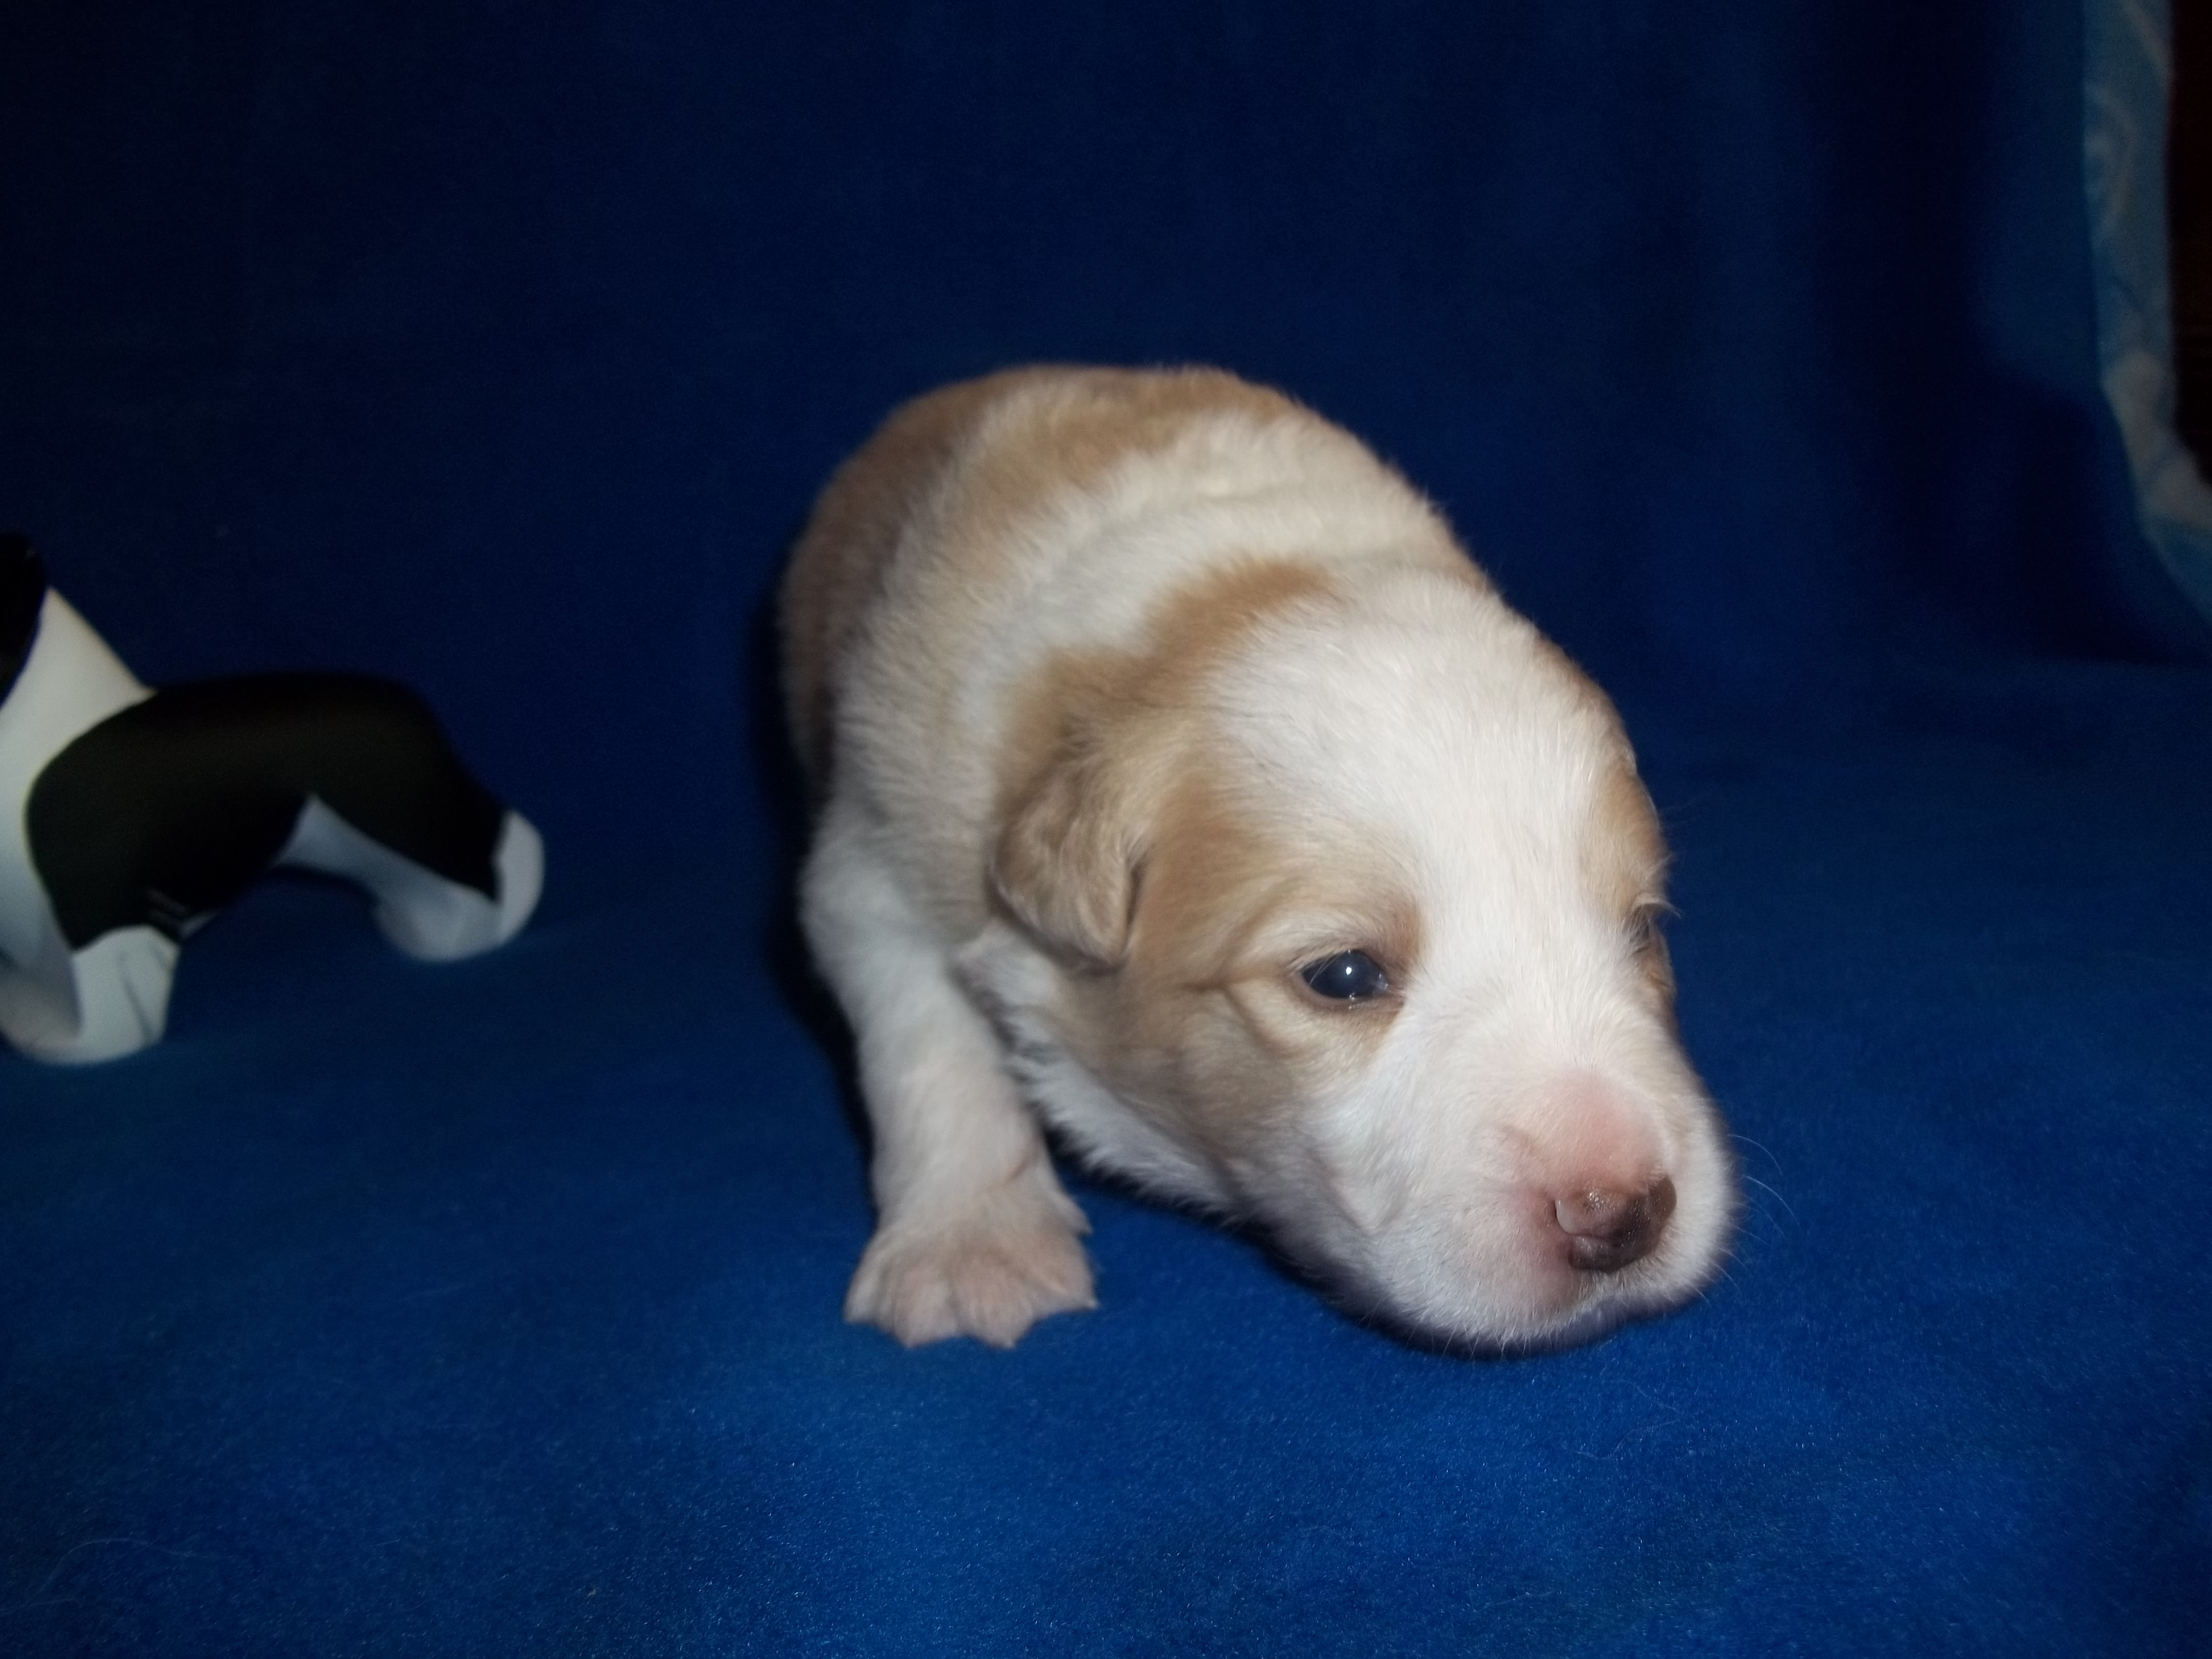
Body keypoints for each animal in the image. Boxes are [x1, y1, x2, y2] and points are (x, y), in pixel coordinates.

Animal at [781, 366, 1735, 1350]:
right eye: (1342, 975)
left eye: (1641, 930)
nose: (1621, 1214)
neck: (1216, 596)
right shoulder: (875, 858)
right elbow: (934, 1052)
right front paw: (974, 1250)